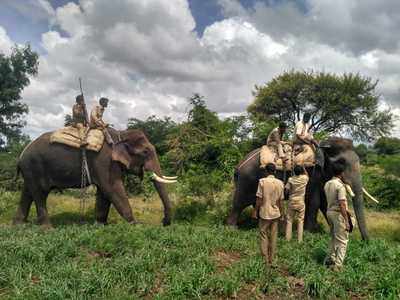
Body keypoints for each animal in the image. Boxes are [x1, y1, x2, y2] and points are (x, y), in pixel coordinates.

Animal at [12, 127, 177, 226]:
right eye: (145, 152)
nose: (163, 222)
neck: (121, 134)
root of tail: (20, 156)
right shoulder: (105, 161)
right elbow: (112, 188)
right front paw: (136, 225)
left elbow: (104, 193)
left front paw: (100, 225)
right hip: (34, 166)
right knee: (40, 194)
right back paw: (47, 228)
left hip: (30, 170)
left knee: (27, 193)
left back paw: (19, 226)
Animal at [227, 137, 380, 240]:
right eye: (341, 162)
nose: (366, 241)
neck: (322, 146)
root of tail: (239, 165)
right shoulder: (313, 173)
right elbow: (314, 201)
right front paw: (310, 232)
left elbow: (324, 203)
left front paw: (328, 230)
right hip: (247, 179)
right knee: (239, 202)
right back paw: (232, 228)